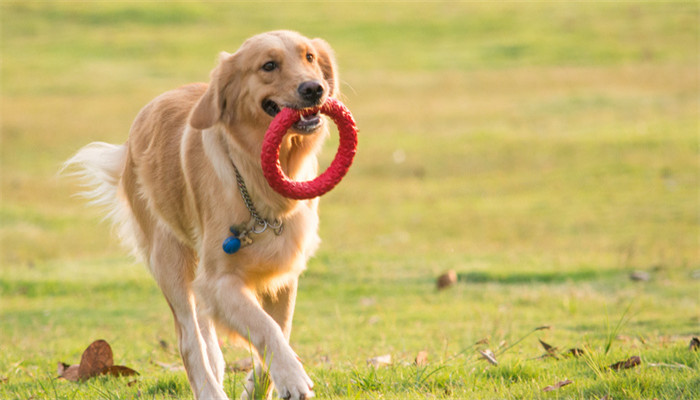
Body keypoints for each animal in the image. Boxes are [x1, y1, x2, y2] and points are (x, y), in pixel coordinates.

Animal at [64, 31, 340, 400]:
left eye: (309, 57)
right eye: (269, 65)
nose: (314, 89)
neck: (256, 177)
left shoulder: (282, 274)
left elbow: (279, 328)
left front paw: (259, 386)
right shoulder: (218, 280)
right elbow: (264, 327)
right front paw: (293, 376)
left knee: (207, 335)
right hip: (169, 260)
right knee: (189, 339)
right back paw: (209, 389)